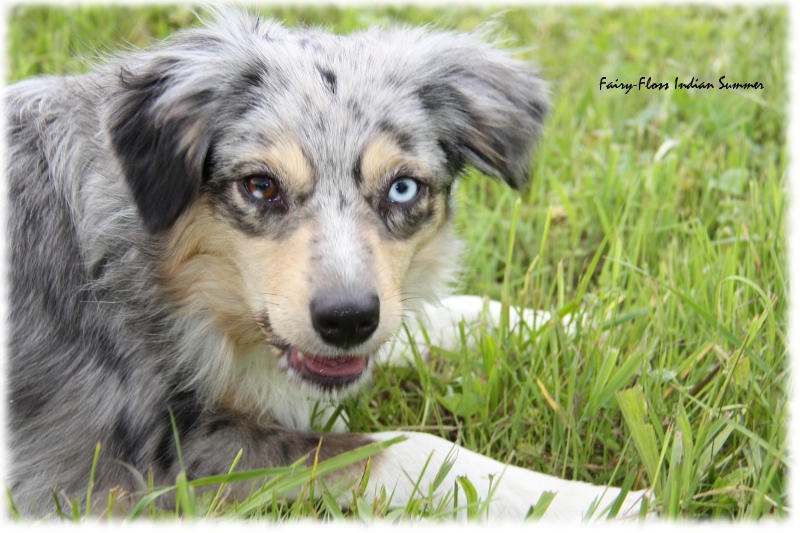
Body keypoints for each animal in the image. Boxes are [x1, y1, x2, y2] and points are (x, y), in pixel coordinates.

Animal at [3, 8, 648, 520]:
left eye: (403, 189)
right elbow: (406, 448)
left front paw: (579, 324)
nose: (346, 320)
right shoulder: (142, 464)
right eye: (261, 186)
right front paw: (600, 502)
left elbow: (443, 313)